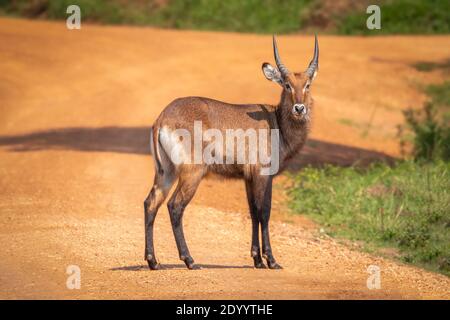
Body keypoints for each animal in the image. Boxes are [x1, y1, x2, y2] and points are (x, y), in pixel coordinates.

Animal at [142, 35, 318, 270]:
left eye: (307, 85)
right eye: (287, 84)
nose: (299, 108)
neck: (277, 123)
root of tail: (162, 117)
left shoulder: (248, 177)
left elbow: (253, 212)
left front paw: (257, 259)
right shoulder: (263, 174)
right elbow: (264, 212)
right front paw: (271, 261)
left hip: (165, 172)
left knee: (151, 203)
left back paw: (153, 261)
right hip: (192, 173)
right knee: (175, 206)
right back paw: (190, 260)